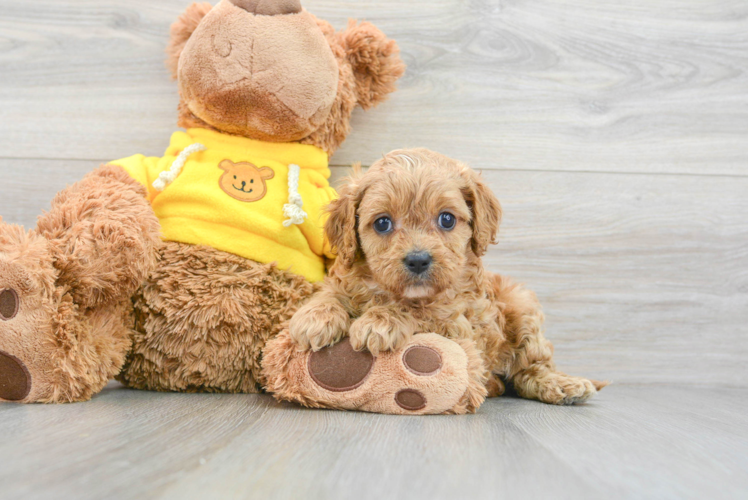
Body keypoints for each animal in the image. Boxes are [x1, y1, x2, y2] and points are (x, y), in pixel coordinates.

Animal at [292, 146, 608, 404]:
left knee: (529, 370)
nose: (418, 260)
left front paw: (380, 321)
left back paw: (562, 385)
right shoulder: (346, 277)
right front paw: (315, 317)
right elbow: (331, 292)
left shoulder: (457, 322)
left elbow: (419, 310)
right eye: (382, 223)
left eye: (446, 219)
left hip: (521, 304)